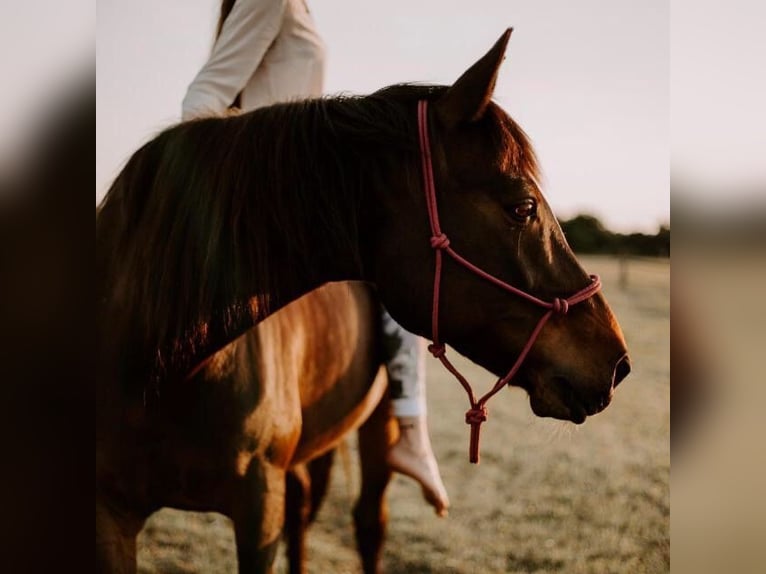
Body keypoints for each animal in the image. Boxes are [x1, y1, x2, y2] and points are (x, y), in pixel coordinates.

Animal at [96, 29, 631, 573]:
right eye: (522, 208)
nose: (617, 363)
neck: (161, 366)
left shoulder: (259, 508)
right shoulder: (111, 515)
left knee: (368, 523)